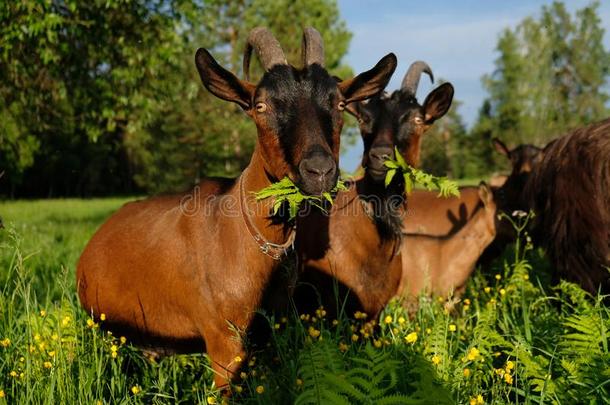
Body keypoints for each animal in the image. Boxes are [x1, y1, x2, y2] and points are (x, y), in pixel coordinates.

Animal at [75, 26, 394, 386]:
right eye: (261, 105)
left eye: (339, 103)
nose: (319, 170)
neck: (245, 237)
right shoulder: (223, 341)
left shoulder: (271, 333)